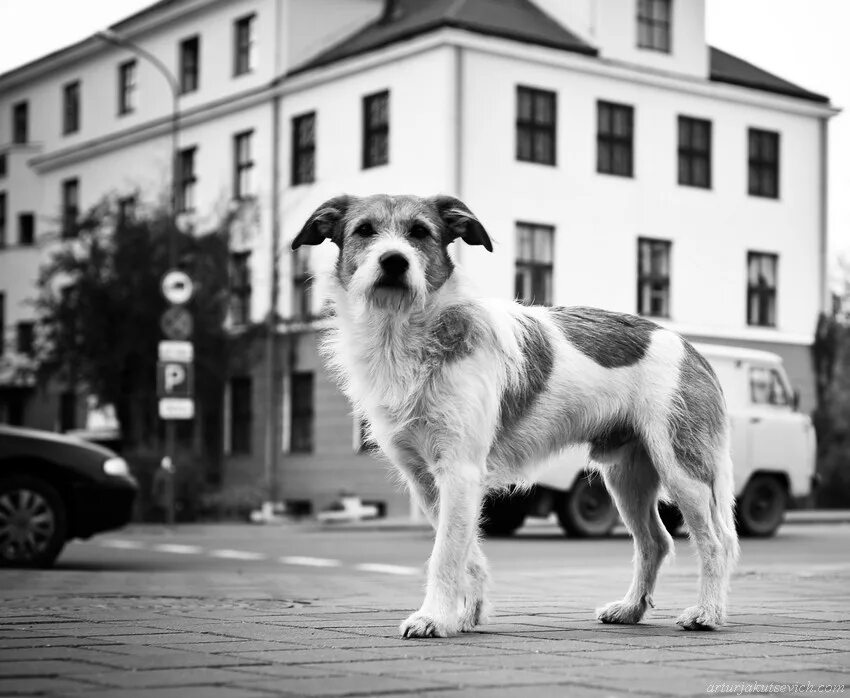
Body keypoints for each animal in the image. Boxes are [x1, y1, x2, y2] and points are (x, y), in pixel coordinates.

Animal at [290, 194, 736, 636]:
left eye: (419, 232)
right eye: (364, 230)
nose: (394, 261)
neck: (405, 335)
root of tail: (689, 347)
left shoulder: (460, 471)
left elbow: (444, 554)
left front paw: (433, 617)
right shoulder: (427, 480)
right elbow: (465, 551)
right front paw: (468, 614)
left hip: (683, 471)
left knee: (714, 544)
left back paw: (707, 612)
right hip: (626, 477)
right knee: (654, 543)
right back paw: (631, 608)